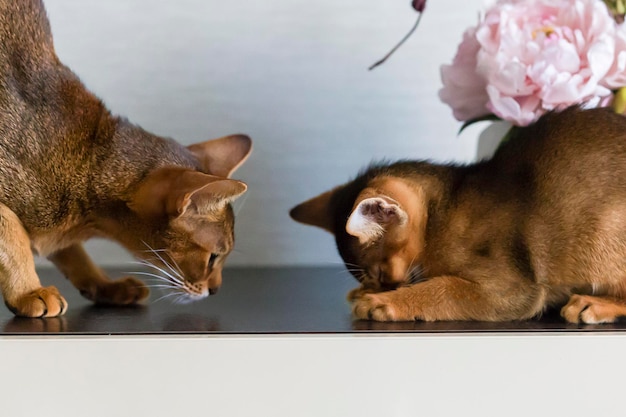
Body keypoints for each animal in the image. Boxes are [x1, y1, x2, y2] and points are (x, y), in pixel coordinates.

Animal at [0, 0, 254, 316]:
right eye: (213, 258)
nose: (216, 290)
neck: (87, 157)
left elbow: (73, 254)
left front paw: (106, 285)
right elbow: (13, 237)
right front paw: (29, 292)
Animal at [292, 105, 626, 324]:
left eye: (380, 273)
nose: (384, 287)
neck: (444, 210)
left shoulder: (514, 290)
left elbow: (446, 288)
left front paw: (383, 301)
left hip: (602, 234)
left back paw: (592, 305)